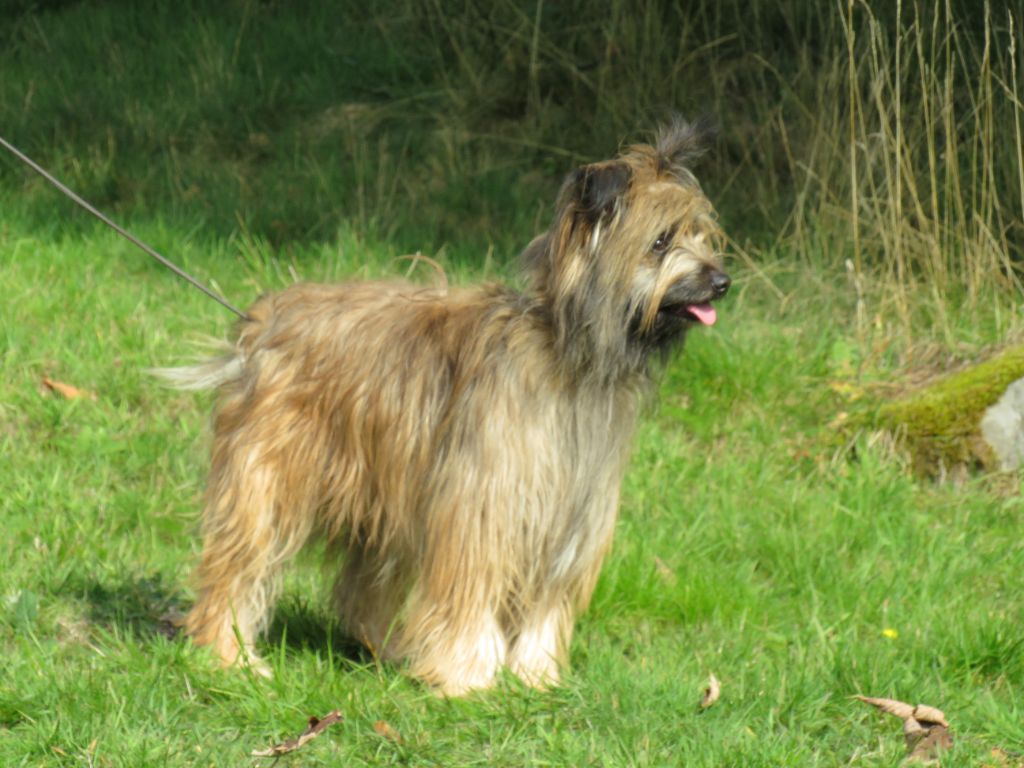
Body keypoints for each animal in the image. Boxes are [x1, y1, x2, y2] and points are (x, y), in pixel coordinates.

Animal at [163, 118, 729, 696]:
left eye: (700, 234)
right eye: (660, 242)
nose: (721, 282)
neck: (566, 357)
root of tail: (260, 324)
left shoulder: (567, 519)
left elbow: (544, 607)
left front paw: (536, 675)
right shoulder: (482, 509)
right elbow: (470, 594)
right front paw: (468, 677)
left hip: (382, 490)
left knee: (361, 589)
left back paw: (387, 651)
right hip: (269, 479)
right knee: (238, 569)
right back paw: (230, 654)